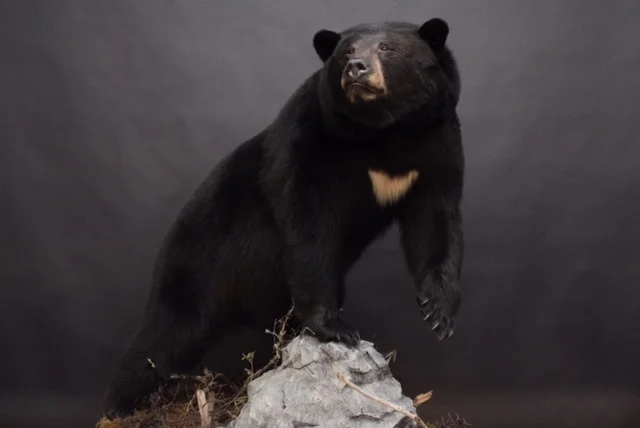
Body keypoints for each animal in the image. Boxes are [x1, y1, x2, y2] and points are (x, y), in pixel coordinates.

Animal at [103, 17, 464, 420]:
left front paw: (439, 313)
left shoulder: (437, 145)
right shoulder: (313, 139)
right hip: (197, 261)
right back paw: (120, 408)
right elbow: (308, 222)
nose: (357, 68)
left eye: (387, 48)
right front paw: (335, 327)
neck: (386, 132)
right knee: (168, 331)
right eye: (347, 52)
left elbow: (435, 223)